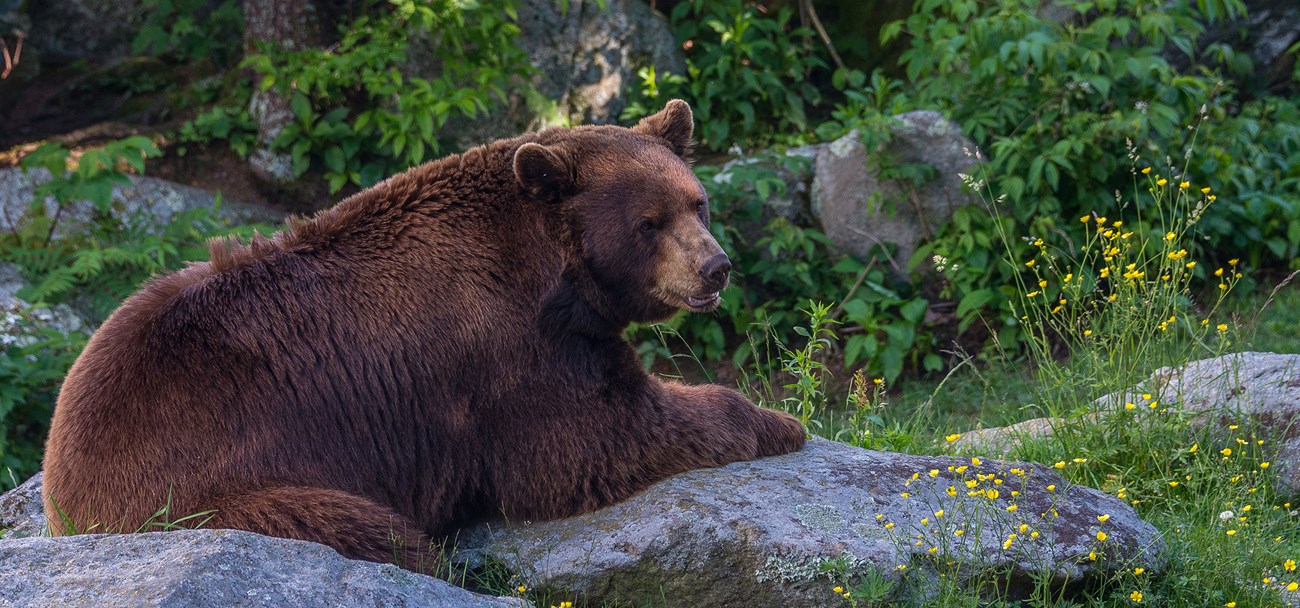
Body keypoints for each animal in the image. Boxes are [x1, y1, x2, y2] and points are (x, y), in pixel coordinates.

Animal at [40, 100, 800, 569]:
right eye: (649, 222)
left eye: (697, 202)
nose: (715, 266)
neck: (551, 278)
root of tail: (59, 480)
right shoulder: (502, 355)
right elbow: (594, 436)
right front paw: (777, 420)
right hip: (207, 493)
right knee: (367, 530)